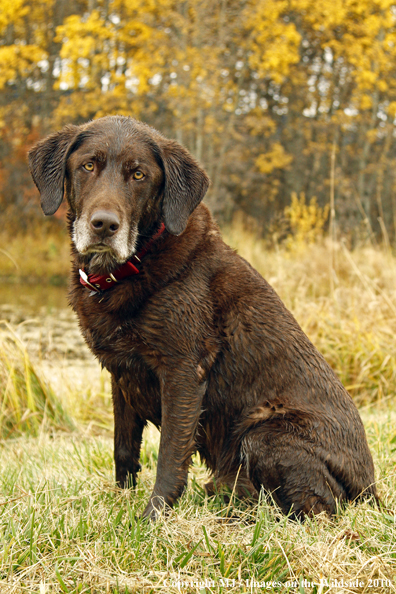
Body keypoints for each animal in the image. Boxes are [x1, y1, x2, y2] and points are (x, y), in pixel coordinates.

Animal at [28, 115, 378, 520]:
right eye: (87, 166)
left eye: (139, 174)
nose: (104, 225)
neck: (134, 264)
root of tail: (371, 491)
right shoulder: (120, 375)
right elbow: (123, 448)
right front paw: (121, 498)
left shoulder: (182, 373)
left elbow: (169, 457)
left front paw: (151, 520)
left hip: (263, 433)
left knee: (316, 507)